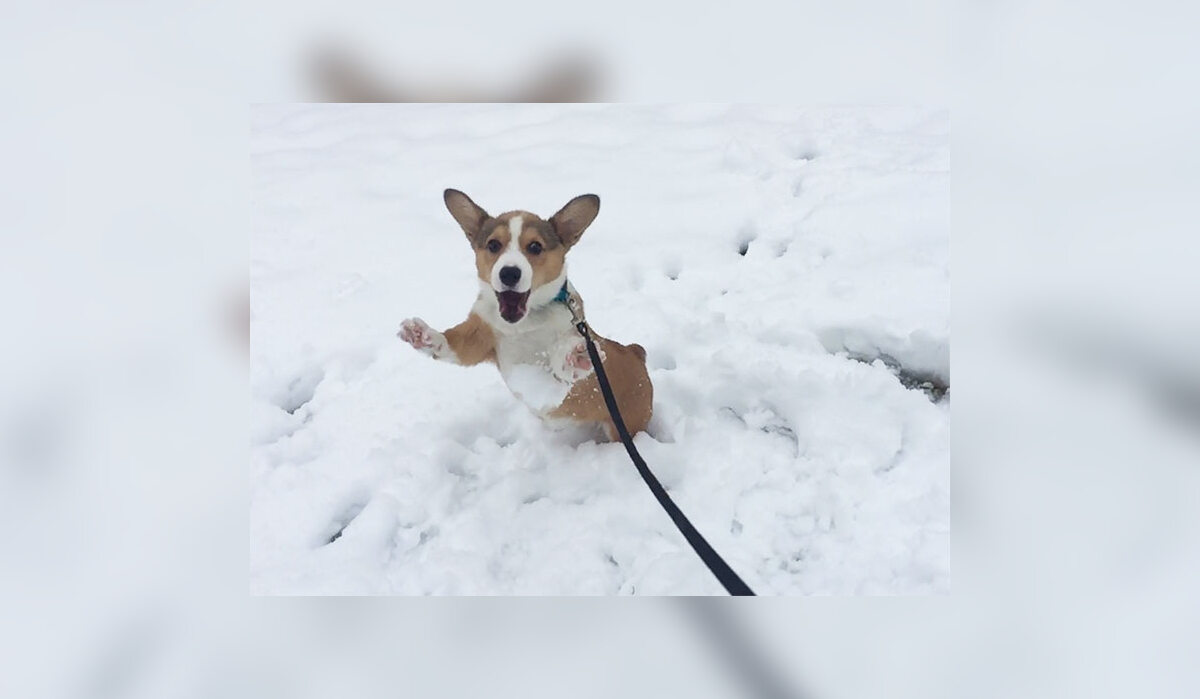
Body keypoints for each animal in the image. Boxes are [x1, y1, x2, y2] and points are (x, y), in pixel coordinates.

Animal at [398, 190, 652, 444]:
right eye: (493, 244)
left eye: (535, 247)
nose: (509, 273)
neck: (523, 323)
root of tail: (635, 352)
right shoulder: (480, 335)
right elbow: (452, 345)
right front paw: (421, 335)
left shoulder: (560, 382)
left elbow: (557, 378)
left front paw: (575, 360)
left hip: (624, 425)